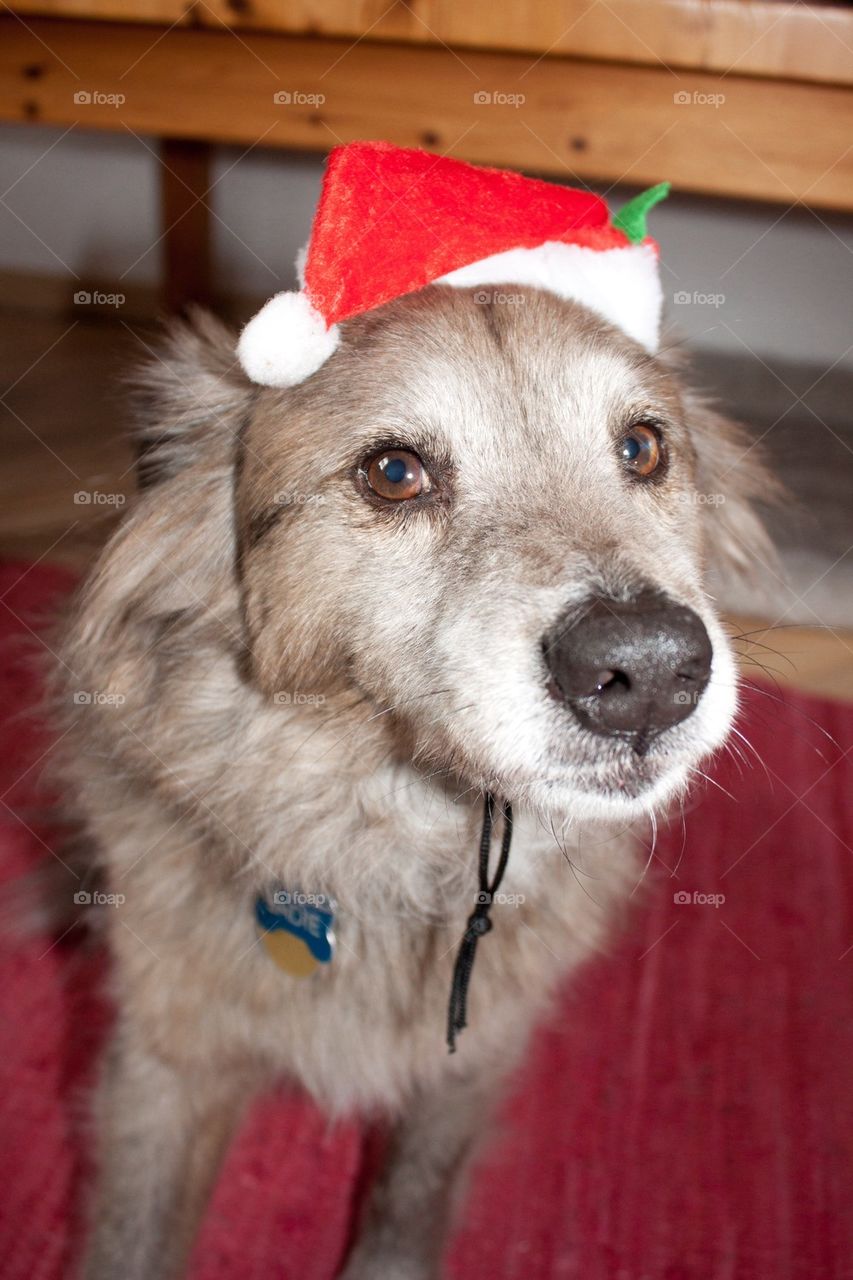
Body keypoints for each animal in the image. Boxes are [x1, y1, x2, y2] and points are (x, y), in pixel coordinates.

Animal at [54, 290, 768, 1280]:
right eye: (393, 473)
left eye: (641, 448)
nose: (652, 672)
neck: (404, 848)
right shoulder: (165, 1064)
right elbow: (134, 1237)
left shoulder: (471, 1058)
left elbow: (407, 1205)